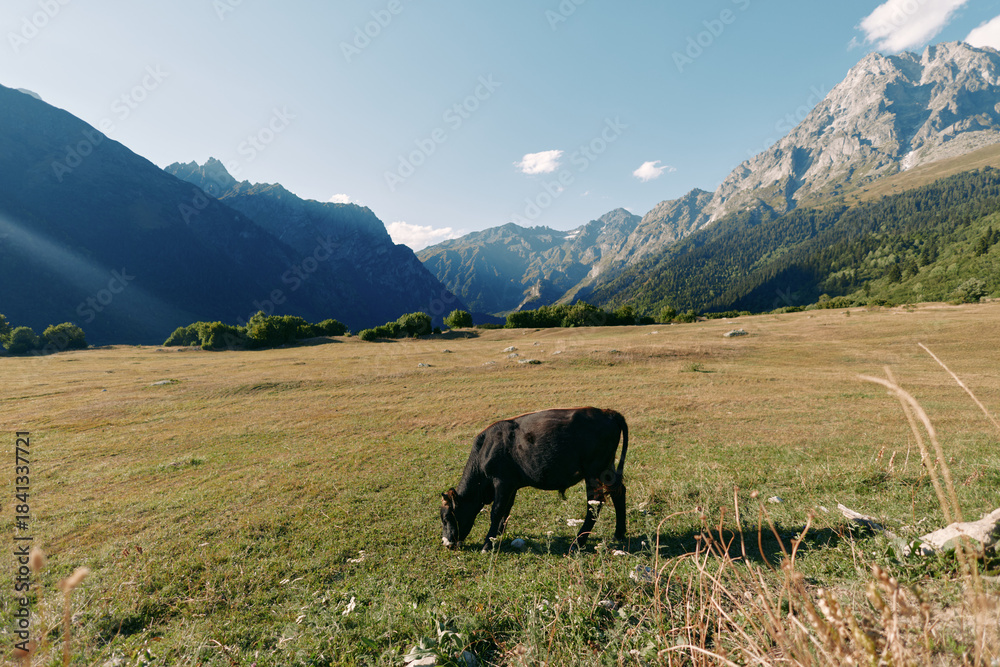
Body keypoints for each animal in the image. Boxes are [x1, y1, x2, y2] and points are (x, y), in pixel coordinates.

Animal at [440, 407, 628, 552]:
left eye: (447, 517)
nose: (447, 543)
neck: (485, 449)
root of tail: (608, 412)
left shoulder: (502, 482)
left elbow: (497, 511)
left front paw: (488, 544)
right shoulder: (511, 486)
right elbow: (506, 511)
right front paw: (497, 536)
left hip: (593, 473)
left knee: (595, 503)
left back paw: (578, 543)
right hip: (607, 469)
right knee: (618, 493)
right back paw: (619, 534)